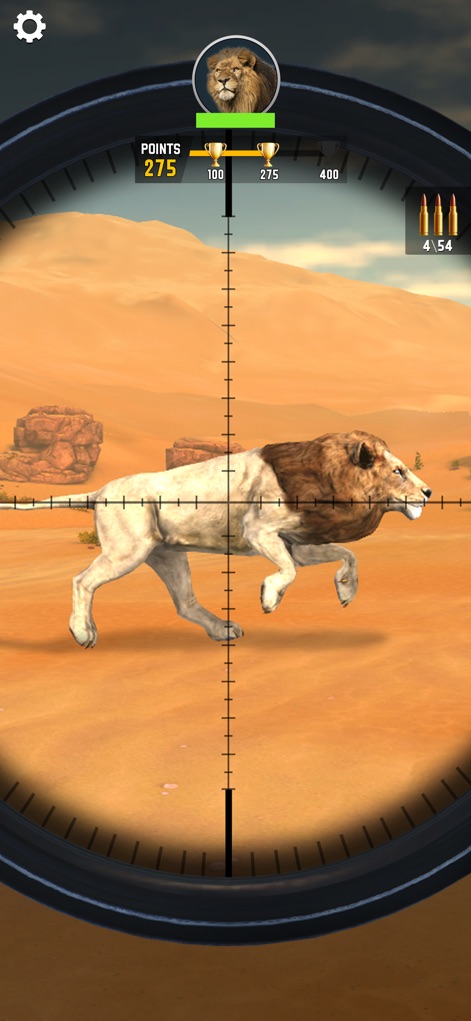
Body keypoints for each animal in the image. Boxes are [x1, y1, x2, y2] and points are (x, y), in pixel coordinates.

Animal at [0, 431, 431, 647]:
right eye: (398, 471)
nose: (428, 493)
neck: (335, 477)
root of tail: (101, 490)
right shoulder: (260, 531)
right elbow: (288, 572)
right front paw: (269, 598)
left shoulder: (298, 540)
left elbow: (346, 556)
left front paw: (345, 590)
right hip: (128, 550)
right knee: (82, 581)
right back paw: (82, 632)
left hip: (166, 554)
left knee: (185, 603)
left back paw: (222, 630)